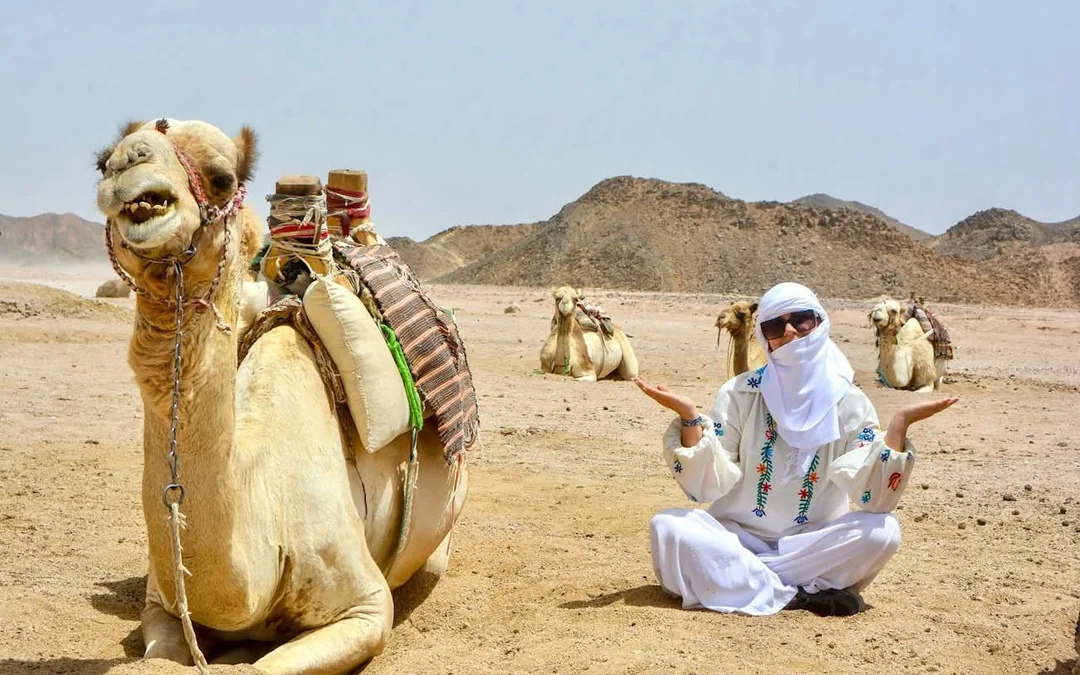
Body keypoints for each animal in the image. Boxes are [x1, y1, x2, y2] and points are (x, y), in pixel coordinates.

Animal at [96, 119, 467, 674]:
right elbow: (162, 654)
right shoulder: (160, 601)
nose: (127, 164)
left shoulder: (367, 607)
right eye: (102, 161)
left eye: (222, 177)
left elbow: (266, 665)